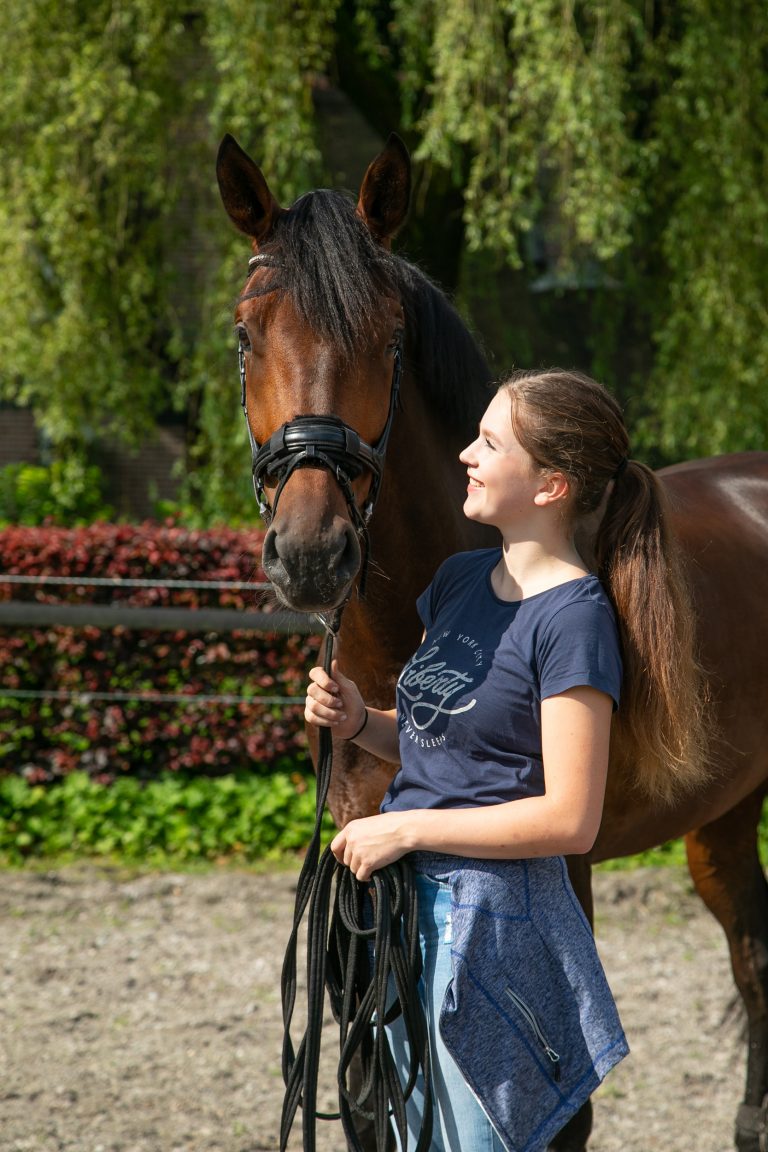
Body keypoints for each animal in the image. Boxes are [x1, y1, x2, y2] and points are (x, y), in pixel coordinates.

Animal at [216, 131, 768, 1152]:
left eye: (389, 340)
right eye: (244, 337)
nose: (311, 555)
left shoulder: (561, 866)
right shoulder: (369, 886)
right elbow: (373, 1101)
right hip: (723, 813)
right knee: (754, 952)